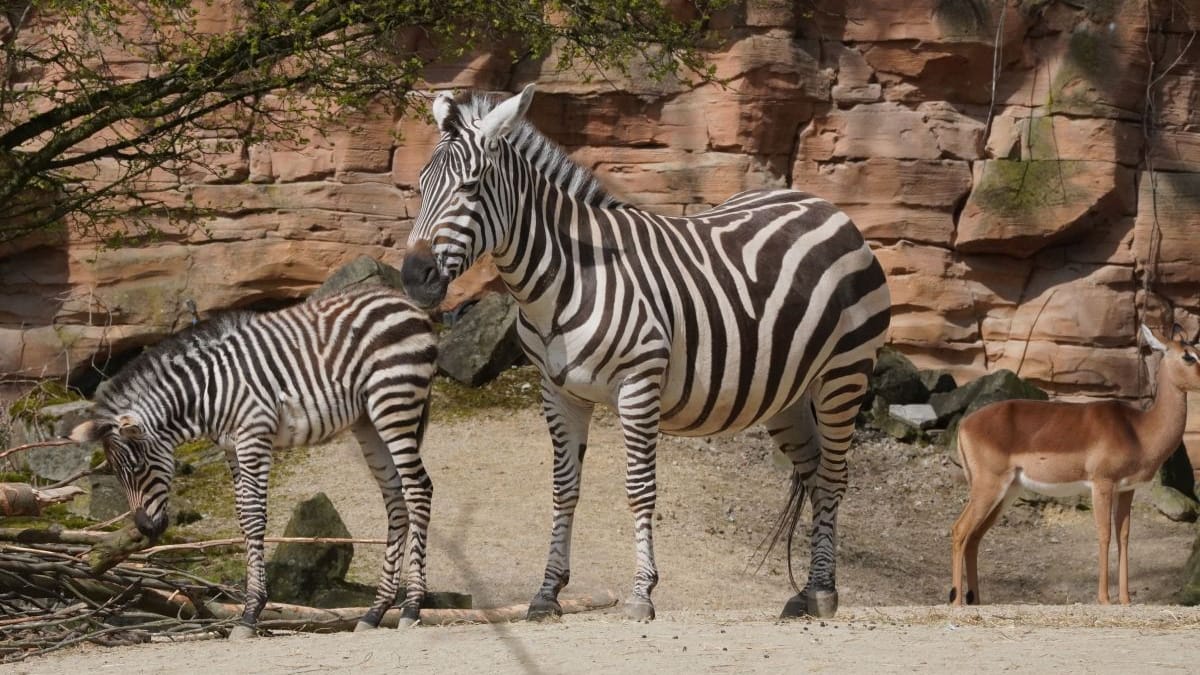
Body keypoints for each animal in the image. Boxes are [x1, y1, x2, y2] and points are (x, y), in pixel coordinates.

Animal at [69, 283, 436, 634]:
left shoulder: (253, 437)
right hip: (368, 420)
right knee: (395, 498)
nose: (146, 528)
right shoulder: (231, 447)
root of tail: (404, 301)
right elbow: (244, 518)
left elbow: (256, 515)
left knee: (418, 489)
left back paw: (411, 608)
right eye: (117, 474)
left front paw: (250, 613)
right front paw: (250, 608)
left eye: (138, 468)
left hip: (394, 401)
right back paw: (376, 611)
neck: (206, 392)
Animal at [403, 85, 892, 619]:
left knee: (834, 476)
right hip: (788, 393)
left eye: (471, 187)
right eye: (421, 186)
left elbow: (639, 489)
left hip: (845, 374)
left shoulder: (638, 385)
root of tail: (823, 204)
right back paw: (806, 591)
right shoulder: (558, 393)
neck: (567, 278)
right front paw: (548, 592)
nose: (414, 276)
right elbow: (564, 489)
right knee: (814, 471)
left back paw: (823, 590)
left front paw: (641, 592)